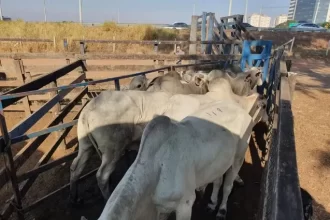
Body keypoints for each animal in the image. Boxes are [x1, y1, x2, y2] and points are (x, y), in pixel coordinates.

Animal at [69, 67, 262, 205]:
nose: (256, 73)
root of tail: (89, 107)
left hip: (85, 145)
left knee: (75, 167)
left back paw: (75, 197)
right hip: (112, 150)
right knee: (102, 175)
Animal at [96, 85, 262, 219]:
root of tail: (241, 110)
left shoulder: (185, 204)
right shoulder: (161, 210)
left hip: (239, 156)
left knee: (228, 186)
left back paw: (221, 210)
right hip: (220, 162)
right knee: (217, 181)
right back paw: (212, 203)